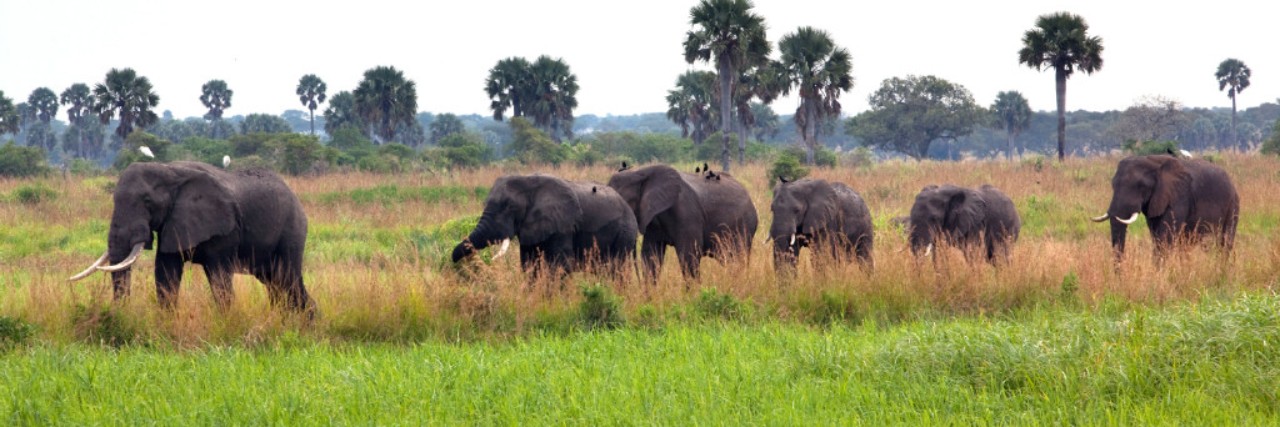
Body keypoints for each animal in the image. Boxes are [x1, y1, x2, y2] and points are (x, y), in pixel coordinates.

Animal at [69, 161, 314, 313]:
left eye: (148, 202)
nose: (119, 315)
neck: (169, 170)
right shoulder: (172, 222)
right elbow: (165, 273)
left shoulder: (224, 227)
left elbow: (219, 278)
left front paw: (226, 323)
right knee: (277, 283)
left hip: (292, 229)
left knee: (287, 278)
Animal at [451, 174, 638, 276]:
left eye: (509, 207)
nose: (454, 261)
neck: (528, 181)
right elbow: (529, 264)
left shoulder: (563, 224)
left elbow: (561, 266)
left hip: (624, 232)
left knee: (616, 269)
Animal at [607, 164, 758, 279]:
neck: (640, 172)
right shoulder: (653, 219)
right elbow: (651, 255)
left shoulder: (687, 213)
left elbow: (689, 255)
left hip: (744, 226)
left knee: (738, 258)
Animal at [1089, 154, 1239, 261]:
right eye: (1113, 185)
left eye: (1141, 186)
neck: (1153, 162)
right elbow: (1157, 237)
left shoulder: (1178, 197)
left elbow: (1165, 239)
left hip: (1233, 204)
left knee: (1225, 242)